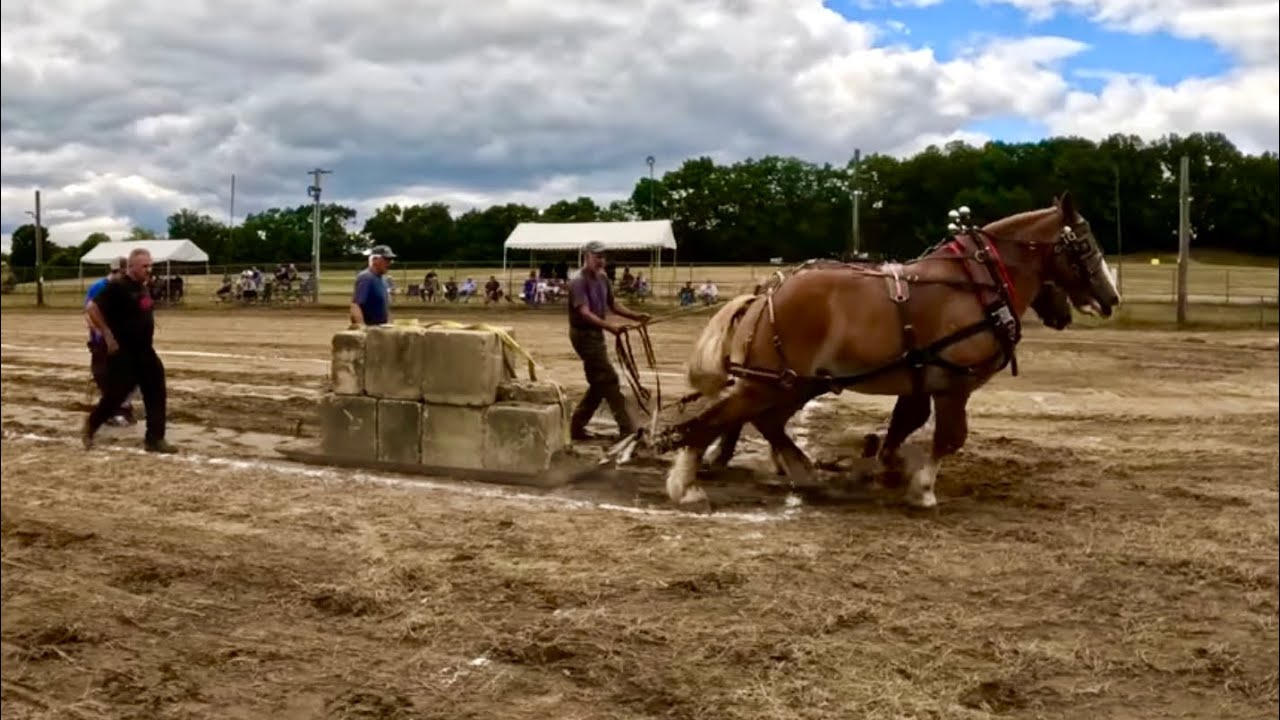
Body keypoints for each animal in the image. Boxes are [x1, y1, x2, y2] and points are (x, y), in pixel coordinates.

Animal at [639, 192, 1120, 509]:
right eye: (1085, 244)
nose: (1110, 298)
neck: (976, 284)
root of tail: (766, 294)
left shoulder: (920, 377)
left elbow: (905, 423)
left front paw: (888, 468)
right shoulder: (954, 383)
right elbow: (949, 437)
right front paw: (922, 489)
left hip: (791, 383)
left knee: (762, 421)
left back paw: (800, 471)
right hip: (774, 383)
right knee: (715, 421)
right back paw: (688, 484)